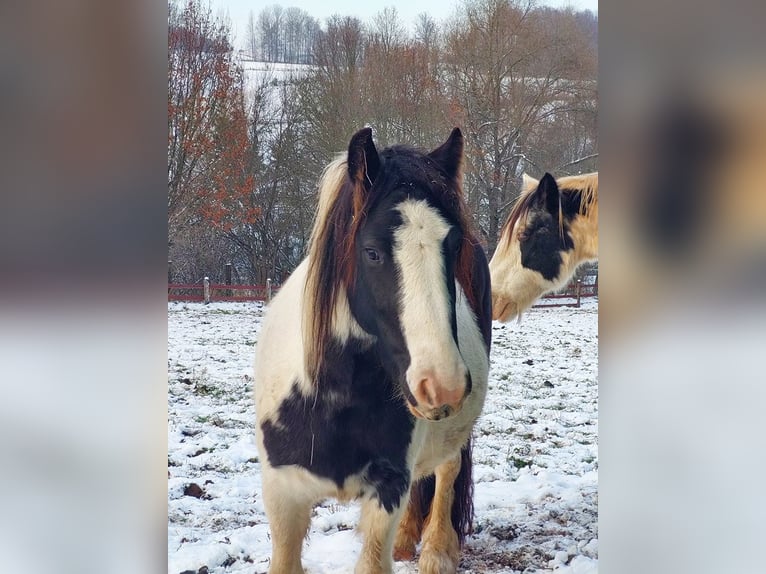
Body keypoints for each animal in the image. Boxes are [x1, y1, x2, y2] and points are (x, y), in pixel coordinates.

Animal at [252, 128, 492, 572]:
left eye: (453, 247)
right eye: (373, 252)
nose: (442, 384)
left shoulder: (388, 489)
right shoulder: (282, 493)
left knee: (447, 471)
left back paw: (436, 550)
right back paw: (408, 540)